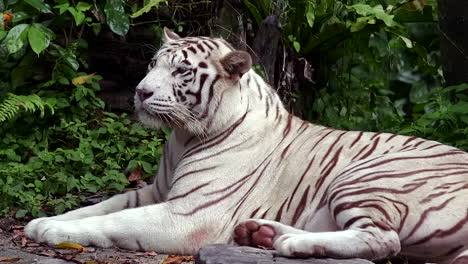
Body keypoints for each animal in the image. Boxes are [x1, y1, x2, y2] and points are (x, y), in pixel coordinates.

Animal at [24, 28, 468, 264]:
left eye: (181, 71)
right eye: (153, 65)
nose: (140, 91)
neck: (183, 136)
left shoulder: (189, 214)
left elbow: (114, 221)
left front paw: (51, 229)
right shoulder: (154, 192)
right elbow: (100, 206)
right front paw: (43, 220)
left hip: (366, 175)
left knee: (384, 239)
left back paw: (289, 243)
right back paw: (261, 234)